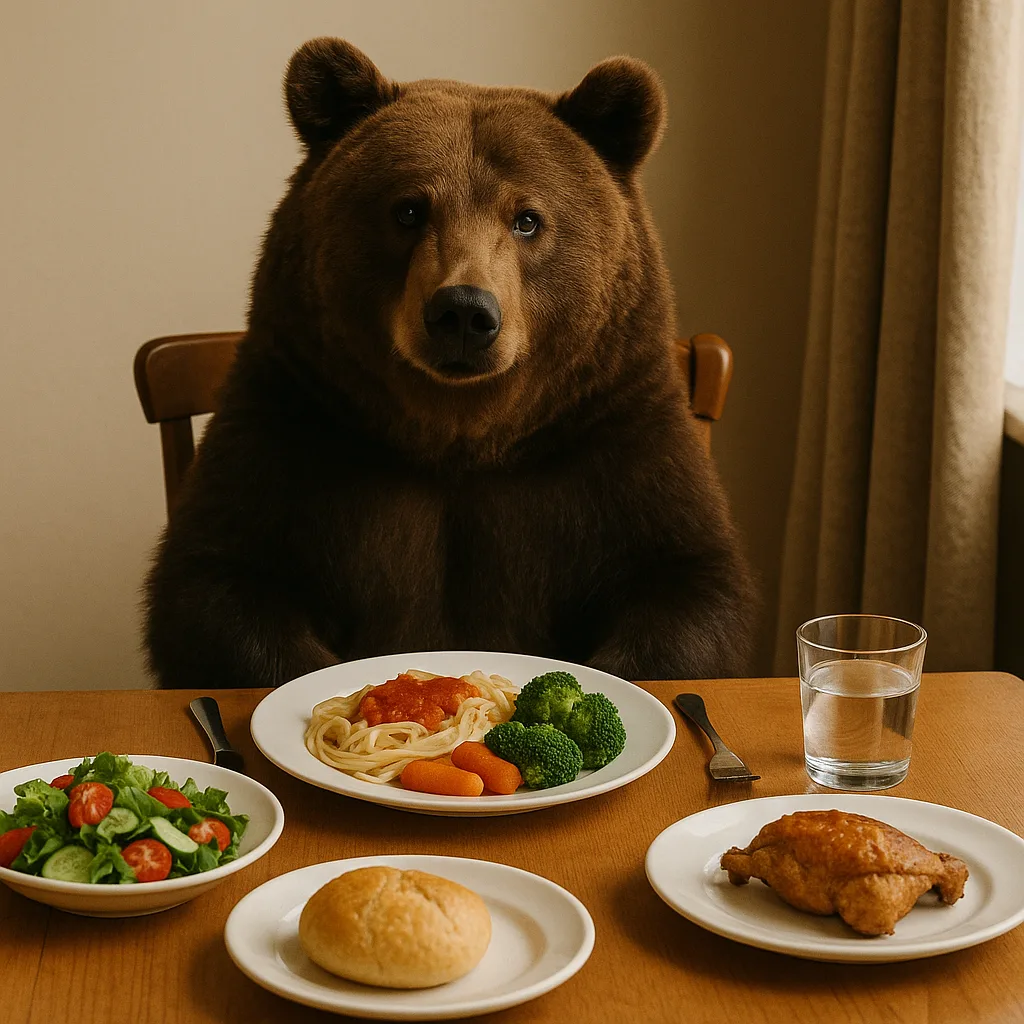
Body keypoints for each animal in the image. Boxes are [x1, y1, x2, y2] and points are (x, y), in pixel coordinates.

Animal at [143, 37, 758, 689]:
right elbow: (218, 580)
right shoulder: (298, 421)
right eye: (409, 210)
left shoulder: (608, 436)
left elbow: (688, 584)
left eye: (527, 218)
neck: (462, 434)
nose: (463, 311)